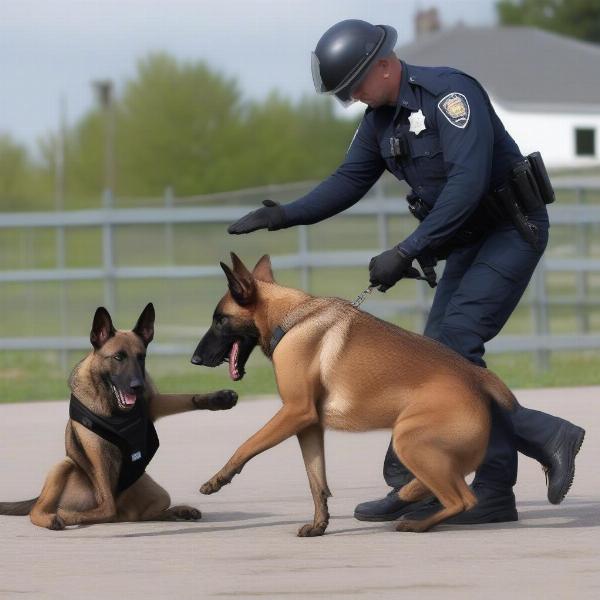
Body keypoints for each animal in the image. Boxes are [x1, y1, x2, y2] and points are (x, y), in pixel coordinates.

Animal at [0, 304, 239, 528]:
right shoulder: (97, 454)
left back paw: (178, 512)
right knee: (40, 510)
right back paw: (54, 517)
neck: (115, 409)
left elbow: (186, 398)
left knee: (145, 514)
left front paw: (219, 399)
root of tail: (125, 515)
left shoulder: (152, 404)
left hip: (158, 493)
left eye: (141, 357)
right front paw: (68, 515)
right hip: (64, 465)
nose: (137, 386)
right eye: (118, 357)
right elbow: (106, 506)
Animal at [192, 253, 516, 536]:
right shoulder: (309, 426)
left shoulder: (295, 412)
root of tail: (477, 377)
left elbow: (246, 445)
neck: (292, 320)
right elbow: (316, 481)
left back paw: (416, 523)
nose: (195, 359)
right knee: (451, 491)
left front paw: (218, 479)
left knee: (462, 500)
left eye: (220, 320)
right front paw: (319, 525)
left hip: (408, 441)